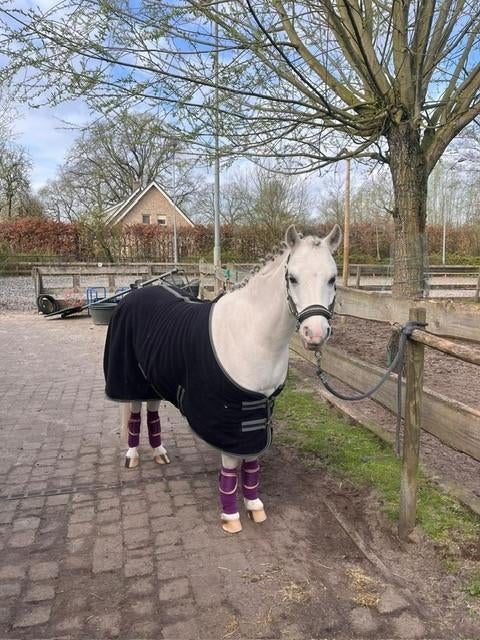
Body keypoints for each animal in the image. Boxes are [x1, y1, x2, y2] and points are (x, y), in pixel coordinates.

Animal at [103, 224, 341, 533]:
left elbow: (251, 463)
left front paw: (254, 506)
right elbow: (230, 465)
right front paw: (230, 516)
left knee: (152, 411)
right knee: (134, 413)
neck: (252, 334)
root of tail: (134, 294)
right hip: (131, 379)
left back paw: (159, 452)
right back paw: (132, 456)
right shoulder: (228, 417)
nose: (315, 334)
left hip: (153, 378)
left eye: (332, 278)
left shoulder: (256, 411)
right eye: (292, 278)